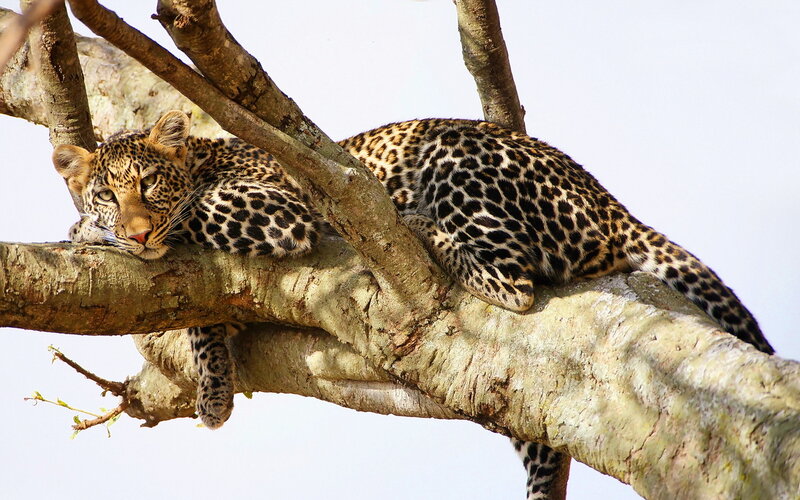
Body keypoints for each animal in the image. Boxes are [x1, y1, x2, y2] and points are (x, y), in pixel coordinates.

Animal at [53, 110, 773, 500]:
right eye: (109, 192)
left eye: (149, 185)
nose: (134, 231)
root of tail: (608, 201)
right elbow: (203, 320)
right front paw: (213, 389)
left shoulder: (277, 210)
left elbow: (194, 216)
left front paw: (88, 233)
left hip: (452, 155)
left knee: (513, 284)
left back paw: (419, 226)